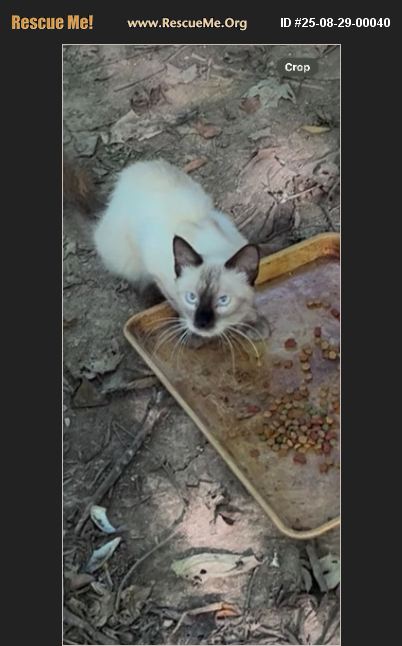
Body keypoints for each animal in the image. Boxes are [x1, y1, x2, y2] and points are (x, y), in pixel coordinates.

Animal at [93, 159, 269, 342]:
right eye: (191, 298)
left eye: (223, 300)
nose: (201, 324)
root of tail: (134, 168)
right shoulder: (162, 278)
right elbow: (178, 306)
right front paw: (193, 335)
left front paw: (253, 323)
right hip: (125, 261)